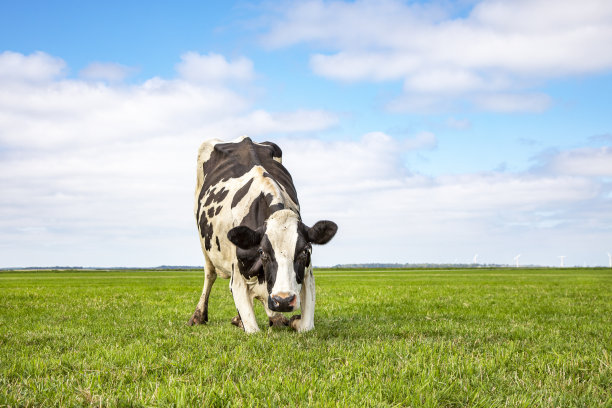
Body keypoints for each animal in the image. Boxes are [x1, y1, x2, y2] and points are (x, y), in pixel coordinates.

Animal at [188, 135, 338, 334]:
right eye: (263, 253)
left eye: (305, 251)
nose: (283, 300)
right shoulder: (237, 277)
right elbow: (252, 329)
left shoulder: (307, 275)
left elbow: (305, 325)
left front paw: (291, 320)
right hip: (203, 239)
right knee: (209, 274)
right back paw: (199, 316)